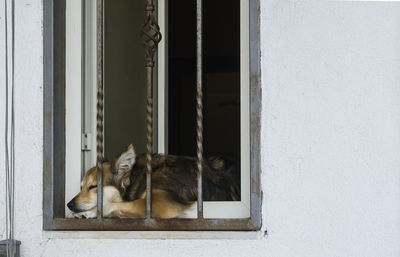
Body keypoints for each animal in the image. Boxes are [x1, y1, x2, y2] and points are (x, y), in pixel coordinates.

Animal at [68, 143, 241, 217]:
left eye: (93, 187)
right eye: (81, 187)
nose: (69, 205)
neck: (140, 176)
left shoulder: (160, 203)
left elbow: (115, 205)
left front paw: (91, 212)